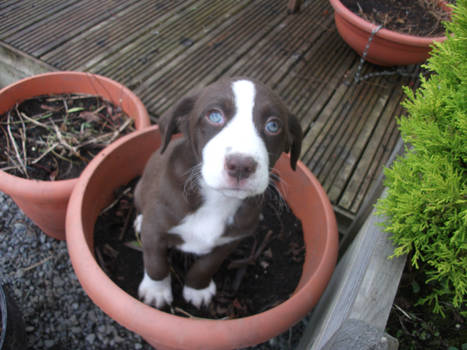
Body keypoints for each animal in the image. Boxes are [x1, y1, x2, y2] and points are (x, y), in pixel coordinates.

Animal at [134, 77, 304, 308]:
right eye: (214, 116)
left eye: (273, 125)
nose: (241, 165)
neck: (217, 198)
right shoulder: (155, 230)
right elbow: (156, 263)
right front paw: (156, 292)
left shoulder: (230, 241)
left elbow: (206, 266)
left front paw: (198, 290)